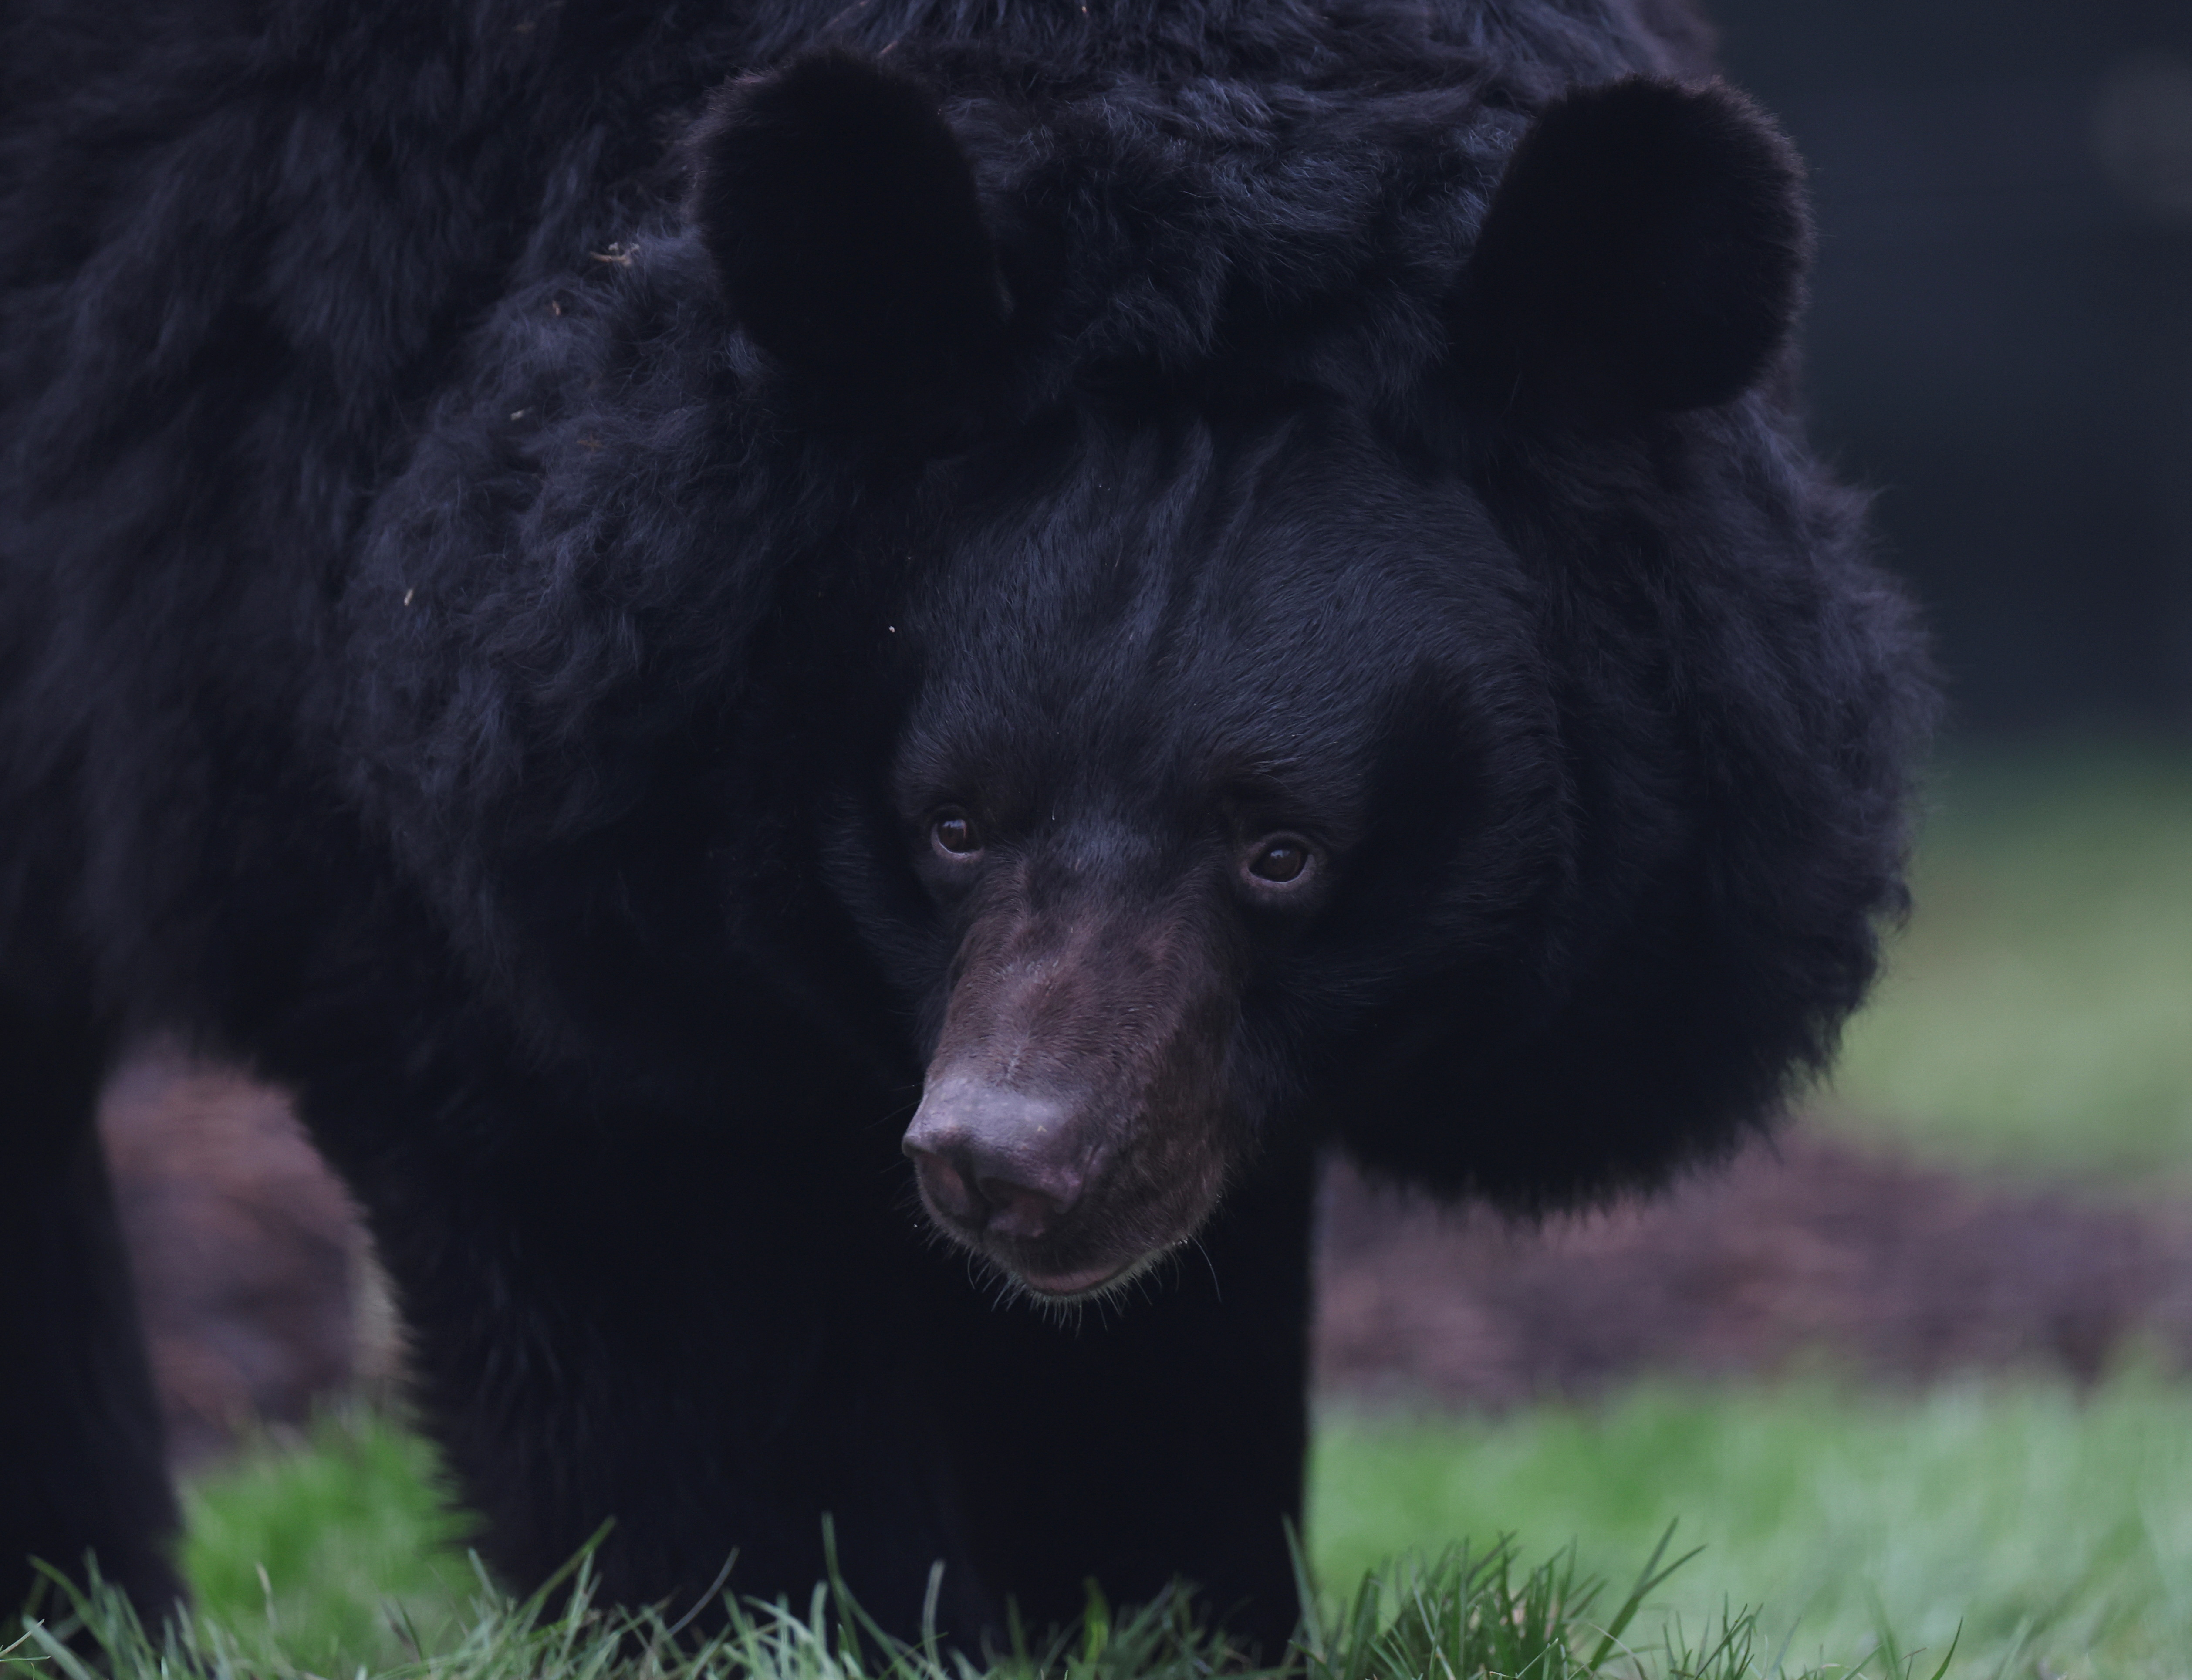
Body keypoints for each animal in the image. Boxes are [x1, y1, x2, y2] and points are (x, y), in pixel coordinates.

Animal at [0, 0, 1933, 1657]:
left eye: (1280, 848)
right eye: (950, 821)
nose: (1001, 1162)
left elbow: (1161, 1332)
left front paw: (1158, 1611)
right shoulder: (407, 705)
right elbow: (624, 1222)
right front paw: (801, 1620)